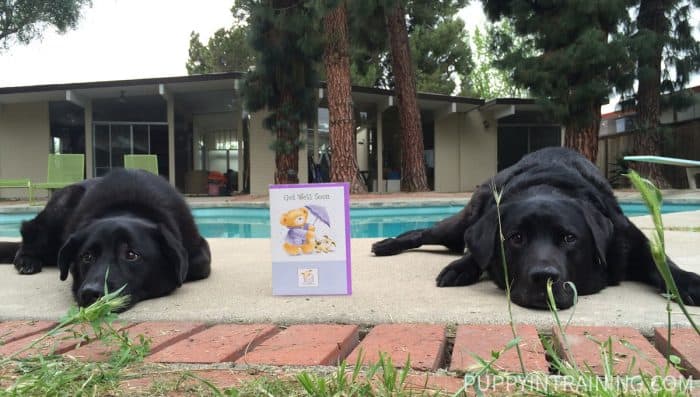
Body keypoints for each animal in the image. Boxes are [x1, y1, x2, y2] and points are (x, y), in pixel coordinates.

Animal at [0, 169, 211, 310]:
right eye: (86, 257)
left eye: (131, 255)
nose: (90, 293)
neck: (127, 207)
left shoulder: (198, 250)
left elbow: (196, 266)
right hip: (59, 208)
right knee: (28, 233)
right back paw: (27, 261)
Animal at [374, 147, 700, 308]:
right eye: (516, 238)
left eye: (569, 238)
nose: (544, 277)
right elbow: (476, 252)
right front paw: (462, 267)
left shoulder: (629, 239)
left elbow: (661, 263)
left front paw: (686, 282)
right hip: (461, 222)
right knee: (427, 233)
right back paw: (386, 244)